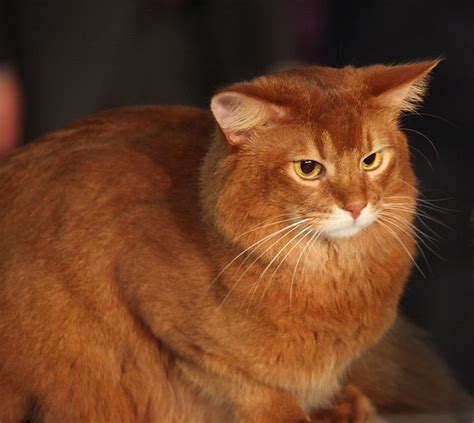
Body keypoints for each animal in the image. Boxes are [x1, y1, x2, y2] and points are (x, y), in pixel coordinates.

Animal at [0, 61, 468, 422]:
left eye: (371, 160)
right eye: (308, 168)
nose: (356, 205)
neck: (331, 278)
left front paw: (342, 407)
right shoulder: (170, 326)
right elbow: (258, 392)